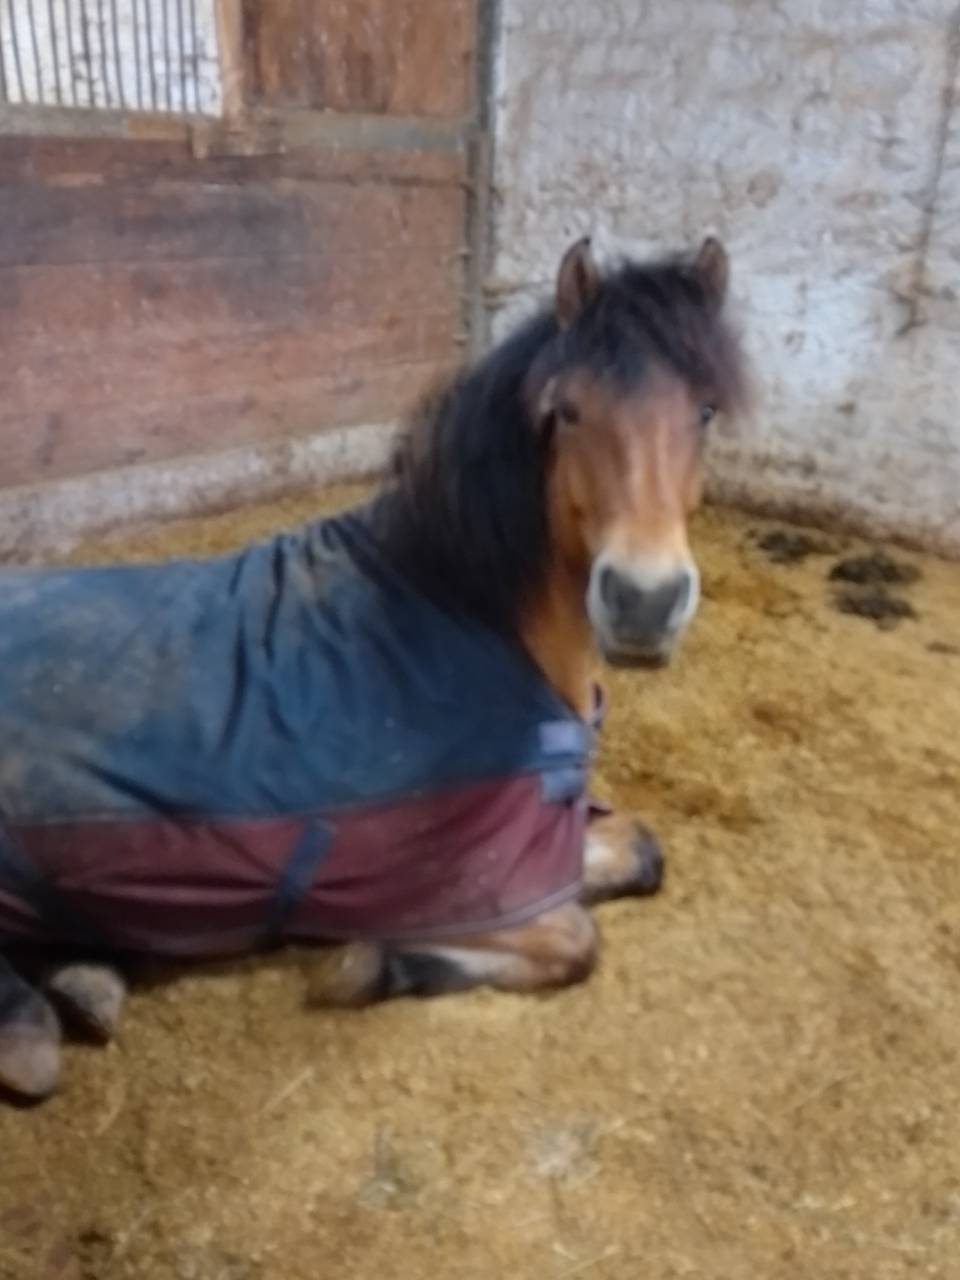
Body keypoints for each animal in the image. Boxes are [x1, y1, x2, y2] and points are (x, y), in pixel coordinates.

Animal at [0, 235, 747, 1101]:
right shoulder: (458, 881)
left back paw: (85, 982)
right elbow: (575, 941)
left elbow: (638, 850)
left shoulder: (527, 850)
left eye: (704, 410)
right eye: (567, 411)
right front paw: (369, 963)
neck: (457, 606)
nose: (643, 600)